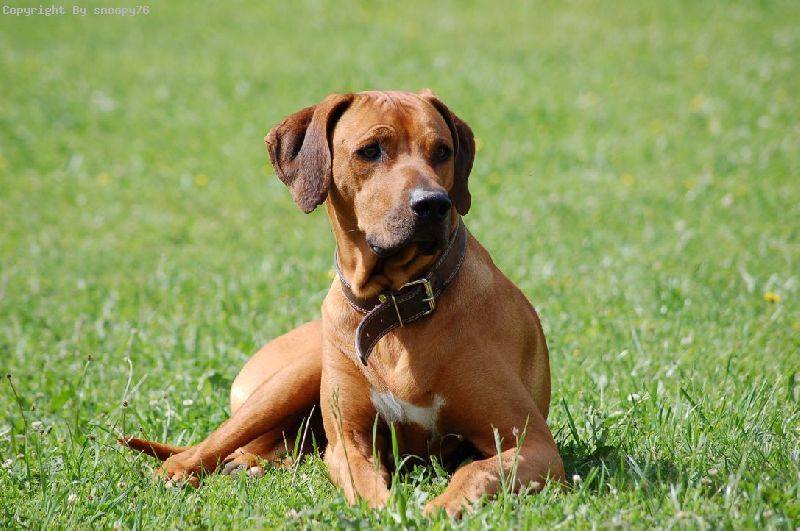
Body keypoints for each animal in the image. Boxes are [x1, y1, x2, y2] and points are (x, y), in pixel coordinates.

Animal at [122, 89, 565, 517]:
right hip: (294, 377)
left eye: (442, 150)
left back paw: (250, 465)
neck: (394, 306)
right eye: (370, 150)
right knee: (217, 443)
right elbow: (363, 481)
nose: (433, 203)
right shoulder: (348, 442)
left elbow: (476, 470)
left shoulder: (533, 444)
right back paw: (181, 471)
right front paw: (387, 511)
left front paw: (439, 508)